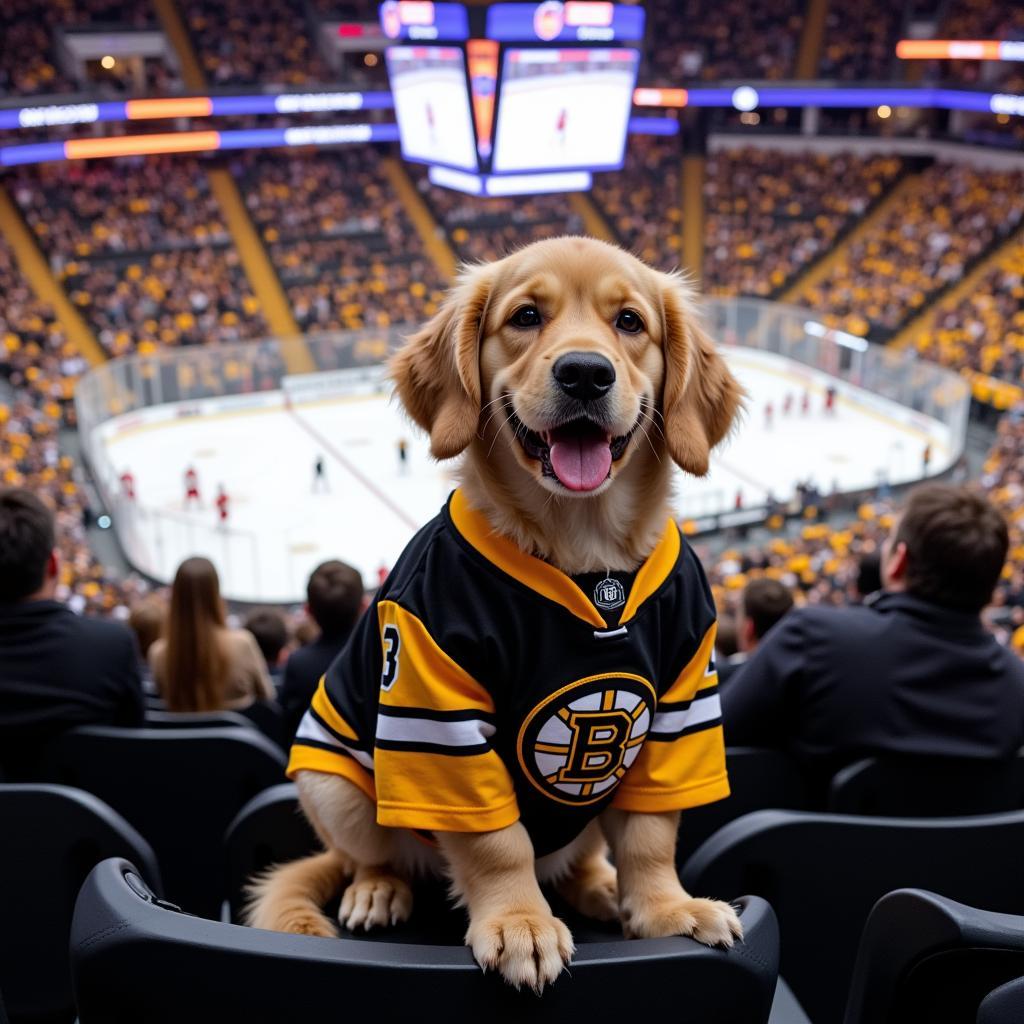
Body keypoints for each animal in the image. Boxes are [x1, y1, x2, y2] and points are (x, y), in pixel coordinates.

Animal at [247, 237, 745, 991]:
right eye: (526, 316)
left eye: (630, 322)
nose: (585, 373)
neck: (587, 554)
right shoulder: (436, 712)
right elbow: (496, 843)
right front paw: (518, 921)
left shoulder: (680, 709)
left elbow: (651, 837)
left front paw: (665, 908)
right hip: (333, 784)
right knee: (372, 854)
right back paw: (379, 889)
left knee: (585, 855)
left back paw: (597, 886)